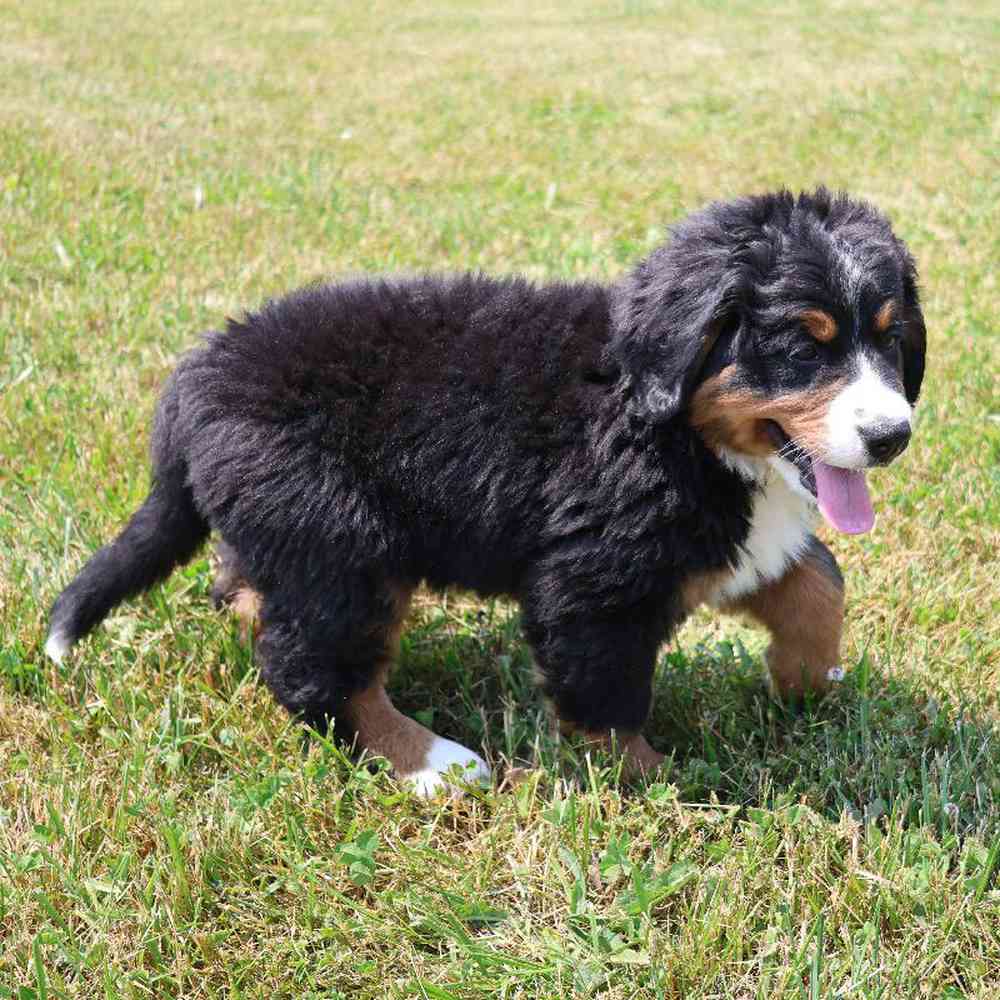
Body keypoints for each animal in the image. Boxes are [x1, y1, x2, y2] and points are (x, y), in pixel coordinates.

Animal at [45, 189, 920, 796]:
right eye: (803, 346)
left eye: (890, 338)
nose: (893, 435)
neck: (678, 430)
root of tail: (195, 380)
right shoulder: (598, 579)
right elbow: (609, 695)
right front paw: (657, 784)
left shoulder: (721, 545)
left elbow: (818, 583)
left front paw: (807, 683)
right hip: (342, 538)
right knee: (316, 668)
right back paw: (431, 763)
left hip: (285, 529)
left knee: (252, 598)